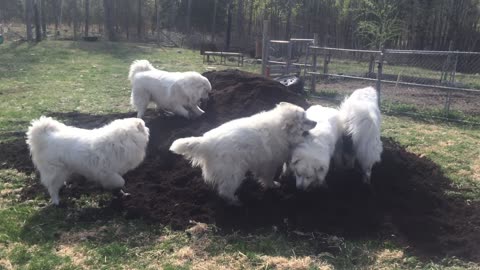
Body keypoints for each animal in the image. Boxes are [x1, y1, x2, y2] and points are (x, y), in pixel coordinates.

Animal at [169, 102, 316, 204]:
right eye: (305, 120)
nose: (315, 122)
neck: (280, 130)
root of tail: (207, 142)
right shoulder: (269, 164)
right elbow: (268, 178)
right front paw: (273, 186)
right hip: (234, 173)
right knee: (225, 191)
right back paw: (235, 202)